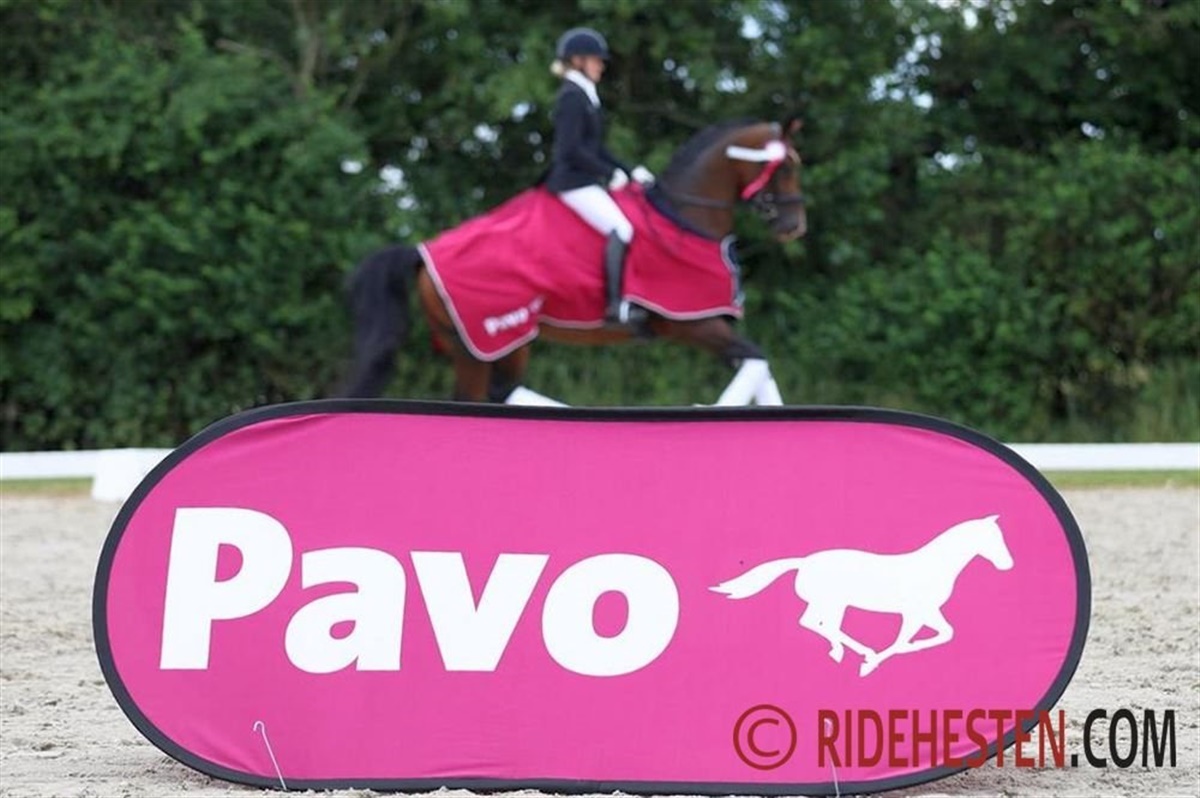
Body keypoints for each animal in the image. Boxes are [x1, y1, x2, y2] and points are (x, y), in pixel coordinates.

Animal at [336, 117, 807, 406]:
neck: (685, 219)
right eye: (786, 168)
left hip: (498, 346)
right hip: (486, 344)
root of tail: (422, 252)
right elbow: (757, 360)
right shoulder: (693, 324)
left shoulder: (709, 327)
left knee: (501, 394)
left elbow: (759, 368)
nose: (794, 225)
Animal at [709, 515, 1015, 676]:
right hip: (832, 602)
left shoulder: (929, 612)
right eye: (994, 539)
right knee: (818, 624)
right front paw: (871, 664)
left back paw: (843, 651)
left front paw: (890, 654)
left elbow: (945, 633)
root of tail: (804, 561)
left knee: (815, 624)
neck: (933, 567)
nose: (1008, 565)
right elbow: (904, 639)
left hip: (831, 604)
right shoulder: (916, 612)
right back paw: (855, 652)